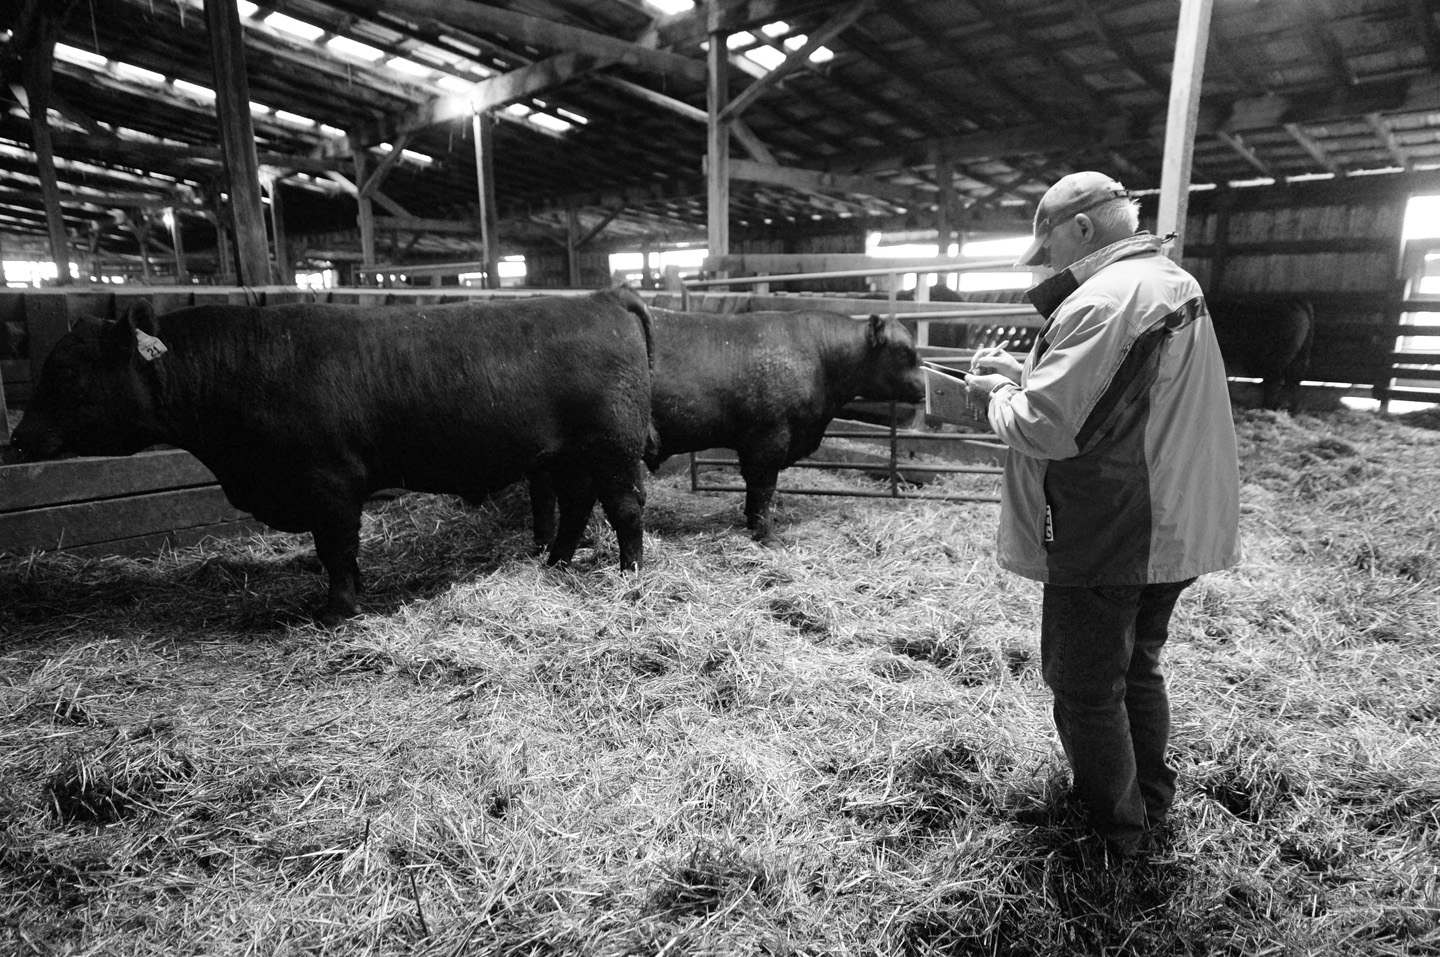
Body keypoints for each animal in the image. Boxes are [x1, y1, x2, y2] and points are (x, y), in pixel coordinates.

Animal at [9, 287, 653, 624]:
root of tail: (602, 297)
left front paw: (338, 608)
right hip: (567, 456)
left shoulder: (329, 482)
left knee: (624, 507)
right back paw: (556, 564)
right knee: (576, 506)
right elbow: (339, 551)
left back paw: (630, 574)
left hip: (613, 447)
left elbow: (335, 549)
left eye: (66, 372)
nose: (18, 438)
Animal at [529, 309, 921, 541]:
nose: (921, 389)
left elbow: (752, 491)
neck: (819, 356)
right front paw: (765, 535)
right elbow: (763, 490)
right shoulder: (769, 440)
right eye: (906, 352)